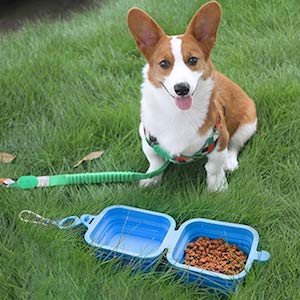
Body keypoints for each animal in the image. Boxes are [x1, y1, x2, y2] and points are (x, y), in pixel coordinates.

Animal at [127, 1, 256, 191]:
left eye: (193, 60)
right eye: (164, 63)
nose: (182, 88)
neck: (179, 114)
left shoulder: (219, 139)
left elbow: (214, 166)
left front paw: (217, 187)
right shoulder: (147, 138)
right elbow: (155, 162)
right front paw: (151, 179)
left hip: (247, 125)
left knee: (235, 145)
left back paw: (230, 162)